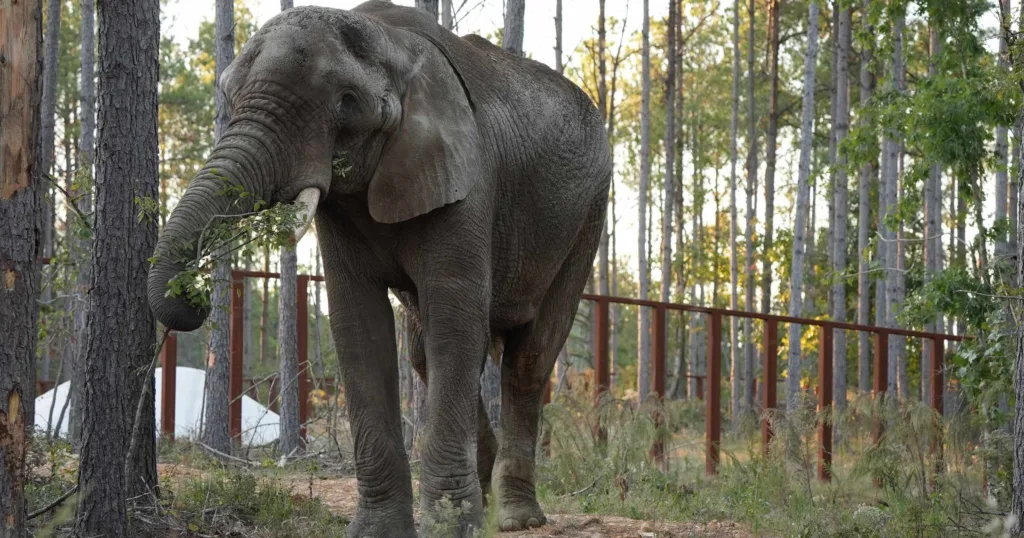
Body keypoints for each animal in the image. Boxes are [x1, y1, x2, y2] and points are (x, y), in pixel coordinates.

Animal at [147, 2, 611, 535]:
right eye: (229, 96)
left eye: (347, 104)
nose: (194, 296)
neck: (391, 43)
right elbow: (358, 325)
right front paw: (380, 529)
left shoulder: (468, 176)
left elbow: (454, 319)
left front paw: (450, 527)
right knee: (425, 355)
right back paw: (489, 490)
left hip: (588, 214)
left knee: (527, 360)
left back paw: (516, 517)